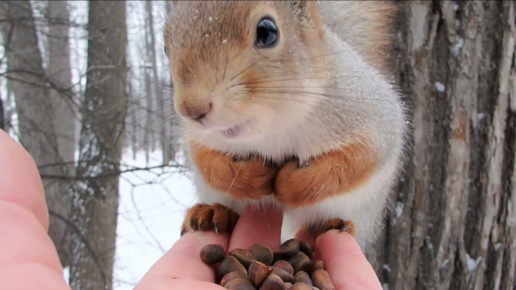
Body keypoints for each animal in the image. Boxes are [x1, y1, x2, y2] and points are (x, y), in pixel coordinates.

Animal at [164, 0, 408, 250]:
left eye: (267, 32)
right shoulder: (198, 137)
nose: (191, 109)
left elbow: (357, 160)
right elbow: (204, 159)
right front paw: (249, 177)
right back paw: (213, 212)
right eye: (166, 45)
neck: (272, 129)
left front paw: (291, 185)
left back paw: (330, 224)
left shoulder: (371, 117)